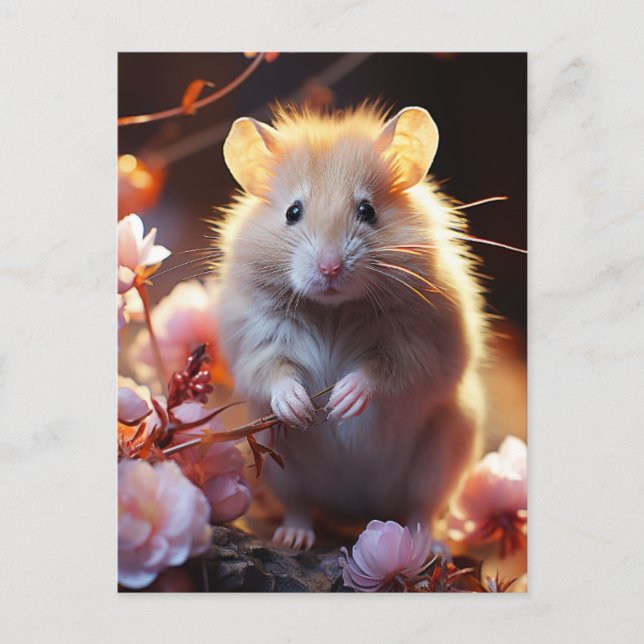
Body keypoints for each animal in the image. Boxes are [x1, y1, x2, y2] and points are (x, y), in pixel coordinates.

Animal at [211, 103, 486, 550]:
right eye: (292, 212)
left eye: (367, 211)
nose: (330, 268)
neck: (332, 309)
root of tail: (354, 512)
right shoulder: (256, 341)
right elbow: (274, 372)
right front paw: (302, 408)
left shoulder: (419, 345)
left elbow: (385, 372)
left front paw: (341, 402)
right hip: (277, 463)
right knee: (300, 505)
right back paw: (293, 538)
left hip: (443, 453)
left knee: (422, 510)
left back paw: (429, 545)